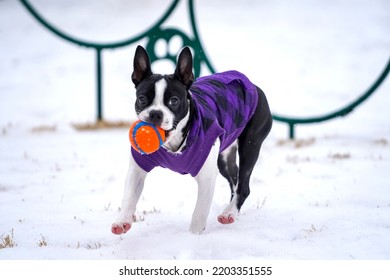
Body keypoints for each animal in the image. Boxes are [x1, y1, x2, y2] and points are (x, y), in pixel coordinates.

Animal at [111, 46, 272, 234]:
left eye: (174, 101)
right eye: (142, 99)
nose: (155, 113)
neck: (174, 143)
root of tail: (253, 86)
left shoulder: (206, 177)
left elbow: (199, 213)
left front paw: (193, 236)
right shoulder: (138, 168)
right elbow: (129, 197)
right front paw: (122, 221)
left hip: (250, 146)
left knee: (243, 185)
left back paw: (230, 213)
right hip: (223, 158)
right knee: (234, 180)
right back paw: (230, 211)